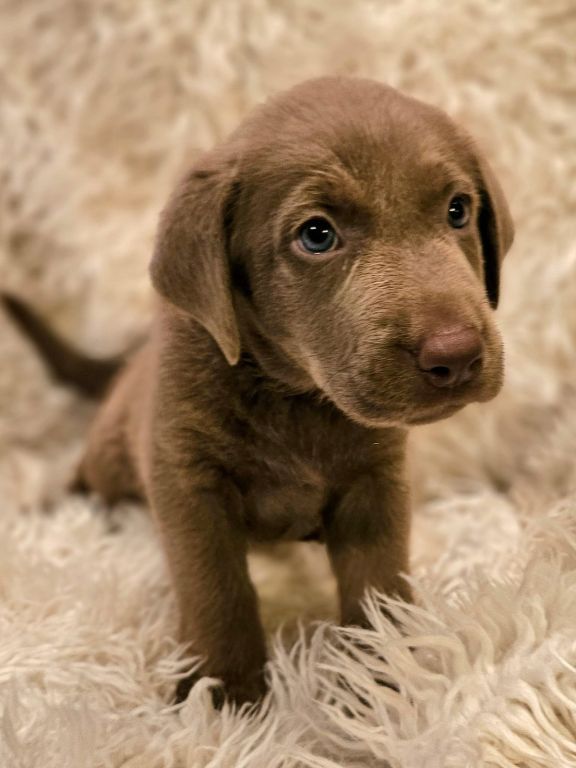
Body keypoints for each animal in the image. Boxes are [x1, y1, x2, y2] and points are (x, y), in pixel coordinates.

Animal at [3, 78, 512, 708]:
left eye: (457, 210)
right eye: (317, 234)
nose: (456, 354)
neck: (293, 393)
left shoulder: (377, 481)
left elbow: (378, 584)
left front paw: (382, 680)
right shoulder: (187, 480)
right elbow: (218, 590)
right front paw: (225, 695)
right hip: (112, 451)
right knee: (89, 474)